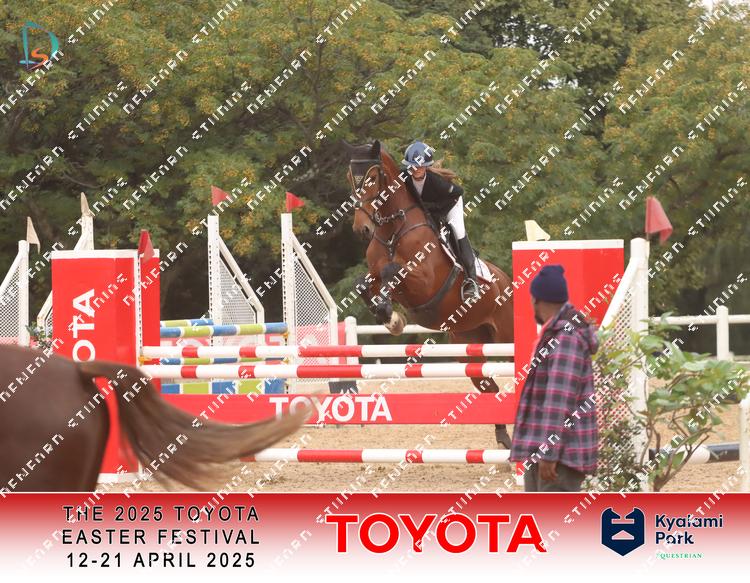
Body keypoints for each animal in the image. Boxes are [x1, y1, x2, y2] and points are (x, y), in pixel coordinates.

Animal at [343, 140, 515, 448]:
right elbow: (365, 283)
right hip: (469, 344)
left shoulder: (423, 280)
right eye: (351, 178)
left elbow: (391, 271)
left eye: (372, 178)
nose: (362, 229)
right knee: (487, 386)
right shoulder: (375, 273)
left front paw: (392, 316)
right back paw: (503, 439)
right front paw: (390, 318)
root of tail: (506, 281)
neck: (392, 230)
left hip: (507, 338)